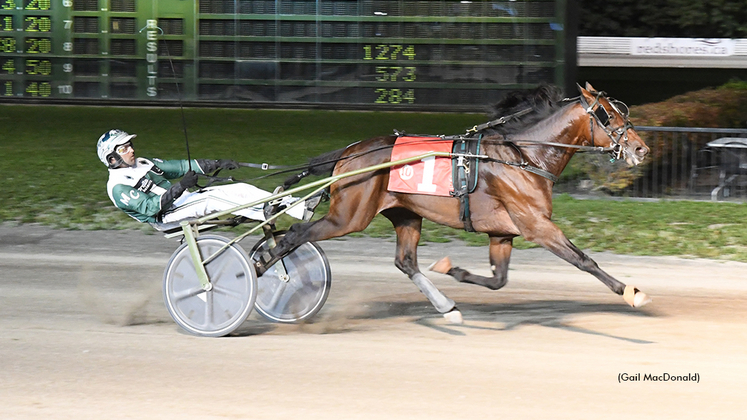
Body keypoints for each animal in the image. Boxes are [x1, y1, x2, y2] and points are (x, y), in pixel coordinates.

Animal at [260, 83, 652, 324]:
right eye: (609, 116)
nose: (641, 148)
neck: (524, 157)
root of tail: (350, 152)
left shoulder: (502, 233)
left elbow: (498, 280)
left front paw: (453, 270)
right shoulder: (537, 225)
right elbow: (583, 260)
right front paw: (631, 293)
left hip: (405, 214)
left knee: (405, 261)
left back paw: (447, 308)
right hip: (349, 215)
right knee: (294, 235)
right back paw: (261, 271)